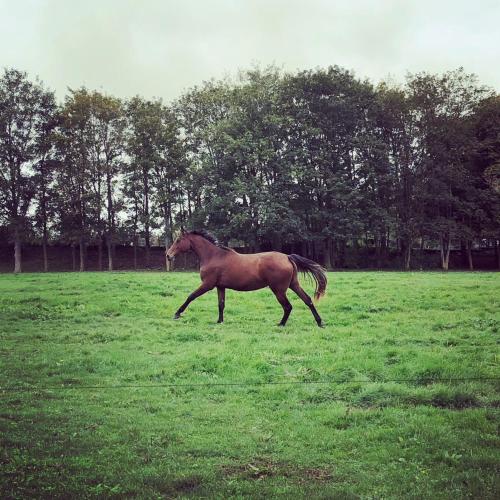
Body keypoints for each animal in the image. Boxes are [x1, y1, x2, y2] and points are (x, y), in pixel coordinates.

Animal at [166, 229, 326, 326]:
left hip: (279, 290)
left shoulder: (207, 284)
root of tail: (287, 257)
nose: (168, 255)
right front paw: (220, 321)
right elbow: (221, 304)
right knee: (307, 300)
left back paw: (281, 324)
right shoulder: (220, 286)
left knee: (288, 306)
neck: (214, 256)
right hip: (293, 285)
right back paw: (319, 322)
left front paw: (177, 314)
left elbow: (191, 296)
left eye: (178, 240)